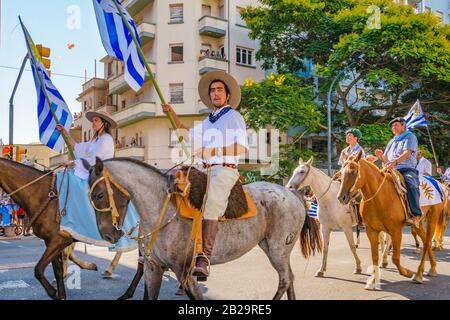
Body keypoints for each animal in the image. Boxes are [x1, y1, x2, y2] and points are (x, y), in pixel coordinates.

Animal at [0, 159, 142, 298]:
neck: (43, 195)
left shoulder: (59, 240)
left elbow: (39, 269)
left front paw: (54, 292)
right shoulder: (51, 241)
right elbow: (58, 269)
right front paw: (61, 293)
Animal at [84, 158, 322, 300]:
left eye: (99, 195)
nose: (108, 234)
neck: (161, 207)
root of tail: (292, 193)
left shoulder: (184, 273)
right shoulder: (153, 269)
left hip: (277, 251)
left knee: (285, 279)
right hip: (274, 249)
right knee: (289, 279)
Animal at [338, 151, 446, 288]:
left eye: (354, 172)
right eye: (341, 173)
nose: (342, 197)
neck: (379, 197)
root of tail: (438, 183)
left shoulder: (396, 231)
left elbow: (395, 258)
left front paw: (407, 272)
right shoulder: (371, 231)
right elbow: (375, 256)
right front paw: (372, 281)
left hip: (433, 218)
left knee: (427, 243)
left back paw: (418, 274)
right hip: (418, 223)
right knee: (425, 240)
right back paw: (432, 268)